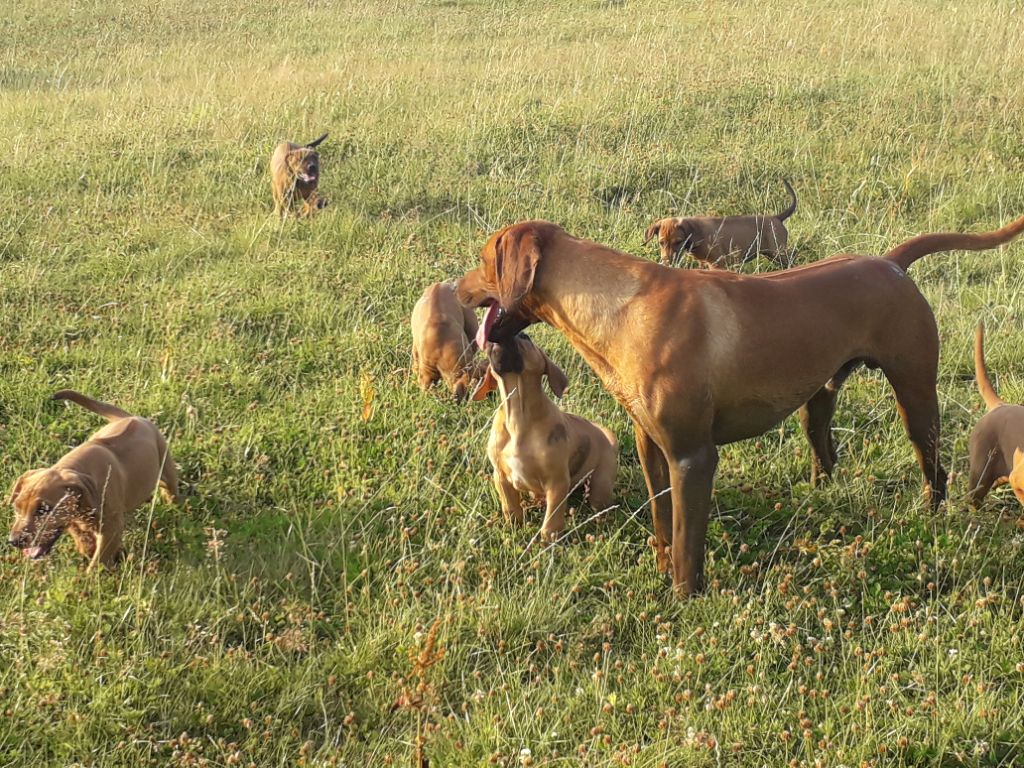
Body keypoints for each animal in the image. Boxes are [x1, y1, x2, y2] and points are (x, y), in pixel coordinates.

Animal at [6, 391, 179, 573]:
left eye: (43, 510)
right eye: (16, 507)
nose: (14, 541)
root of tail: (130, 417)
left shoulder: (111, 527)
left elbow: (99, 559)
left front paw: (90, 576)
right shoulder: (73, 518)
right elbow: (82, 537)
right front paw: (87, 549)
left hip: (166, 467)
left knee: (171, 490)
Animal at [471, 331, 614, 540]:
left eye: (525, 336)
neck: (518, 415)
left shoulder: (557, 482)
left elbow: (551, 522)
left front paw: (548, 542)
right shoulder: (501, 477)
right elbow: (511, 509)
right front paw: (514, 529)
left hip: (600, 487)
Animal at [643, 179, 794, 268]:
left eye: (678, 242)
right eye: (661, 242)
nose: (666, 263)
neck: (696, 236)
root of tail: (776, 217)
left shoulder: (718, 263)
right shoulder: (703, 264)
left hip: (778, 253)